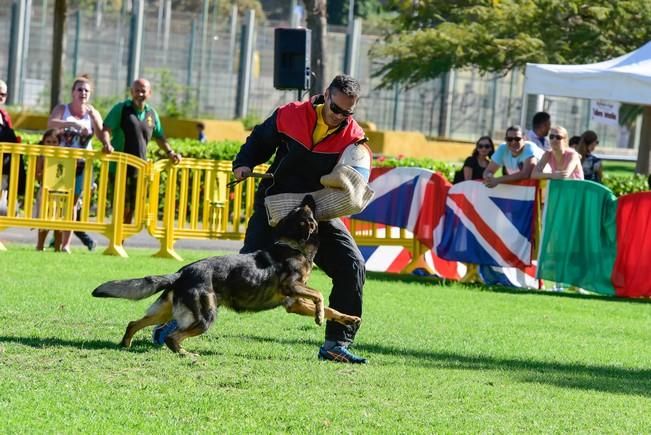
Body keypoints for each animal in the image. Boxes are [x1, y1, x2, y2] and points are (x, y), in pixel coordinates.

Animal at [90, 196, 362, 356]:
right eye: (307, 209)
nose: (309, 196)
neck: (293, 245)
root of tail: (181, 273)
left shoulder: (293, 303)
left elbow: (333, 310)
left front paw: (349, 318)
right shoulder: (291, 289)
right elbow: (319, 296)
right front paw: (318, 316)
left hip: (164, 311)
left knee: (134, 323)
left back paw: (125, 345)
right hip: (206, 316)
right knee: (172, 336)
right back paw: (185, 354)